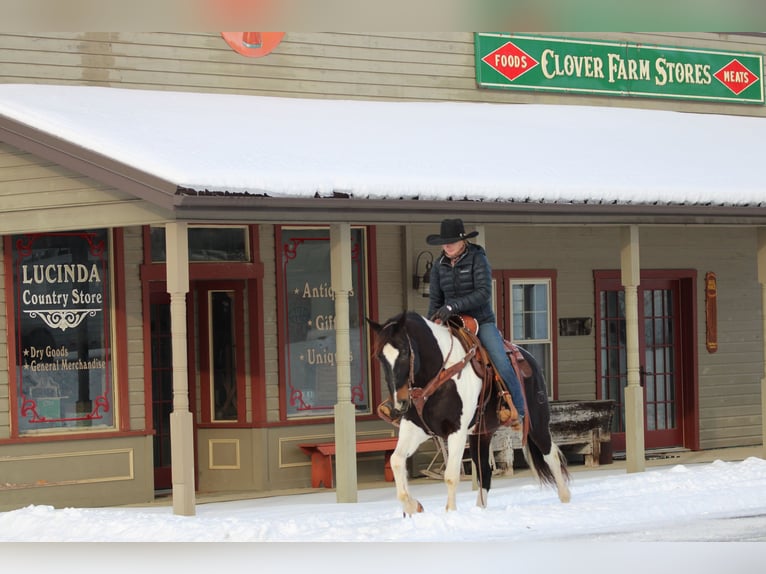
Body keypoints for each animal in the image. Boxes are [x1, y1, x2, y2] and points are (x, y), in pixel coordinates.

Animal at [367, 311, 571, 515]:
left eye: (404, 352)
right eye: (380, 357)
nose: (398, 403)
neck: (440, 373)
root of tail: (530, 359)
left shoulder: (456, 430)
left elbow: (451, 476)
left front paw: (450, 513)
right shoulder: (415, 428)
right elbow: (396, 460)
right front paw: (413, 505)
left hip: (537, 423)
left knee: (551, 455)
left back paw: (565, 499)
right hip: (482, 434)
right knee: (484, 471)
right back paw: (480, 510)